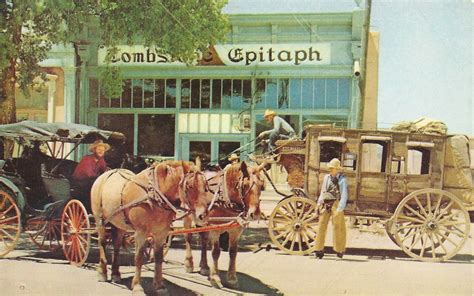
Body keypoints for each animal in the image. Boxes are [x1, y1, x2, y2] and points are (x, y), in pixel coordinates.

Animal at [90, 161, 209, 294]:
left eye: (205, 186)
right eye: (190, 186)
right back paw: (102, 272)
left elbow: (158, 257)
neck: (155, 195)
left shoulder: (162, 233)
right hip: (99, 220)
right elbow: (139, 258)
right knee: (102, 242)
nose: (202, 216)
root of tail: (105, 174)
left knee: (116, 245)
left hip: (119, 224)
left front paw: (159, 286)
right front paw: (137, 287)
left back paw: (116, 273)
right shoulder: (141, 233)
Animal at [183, 162, 266, 290]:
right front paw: (215, 278)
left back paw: (204, 266)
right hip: (188, 216)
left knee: (204, 239)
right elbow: (216, 252)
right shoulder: (215, 229)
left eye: (262, 186)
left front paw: (232, 278)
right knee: (188, 237)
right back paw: (189, 264)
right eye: (245, 185)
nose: (255, 214)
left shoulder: (235, 230)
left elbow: (233, 252)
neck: (225, 197)